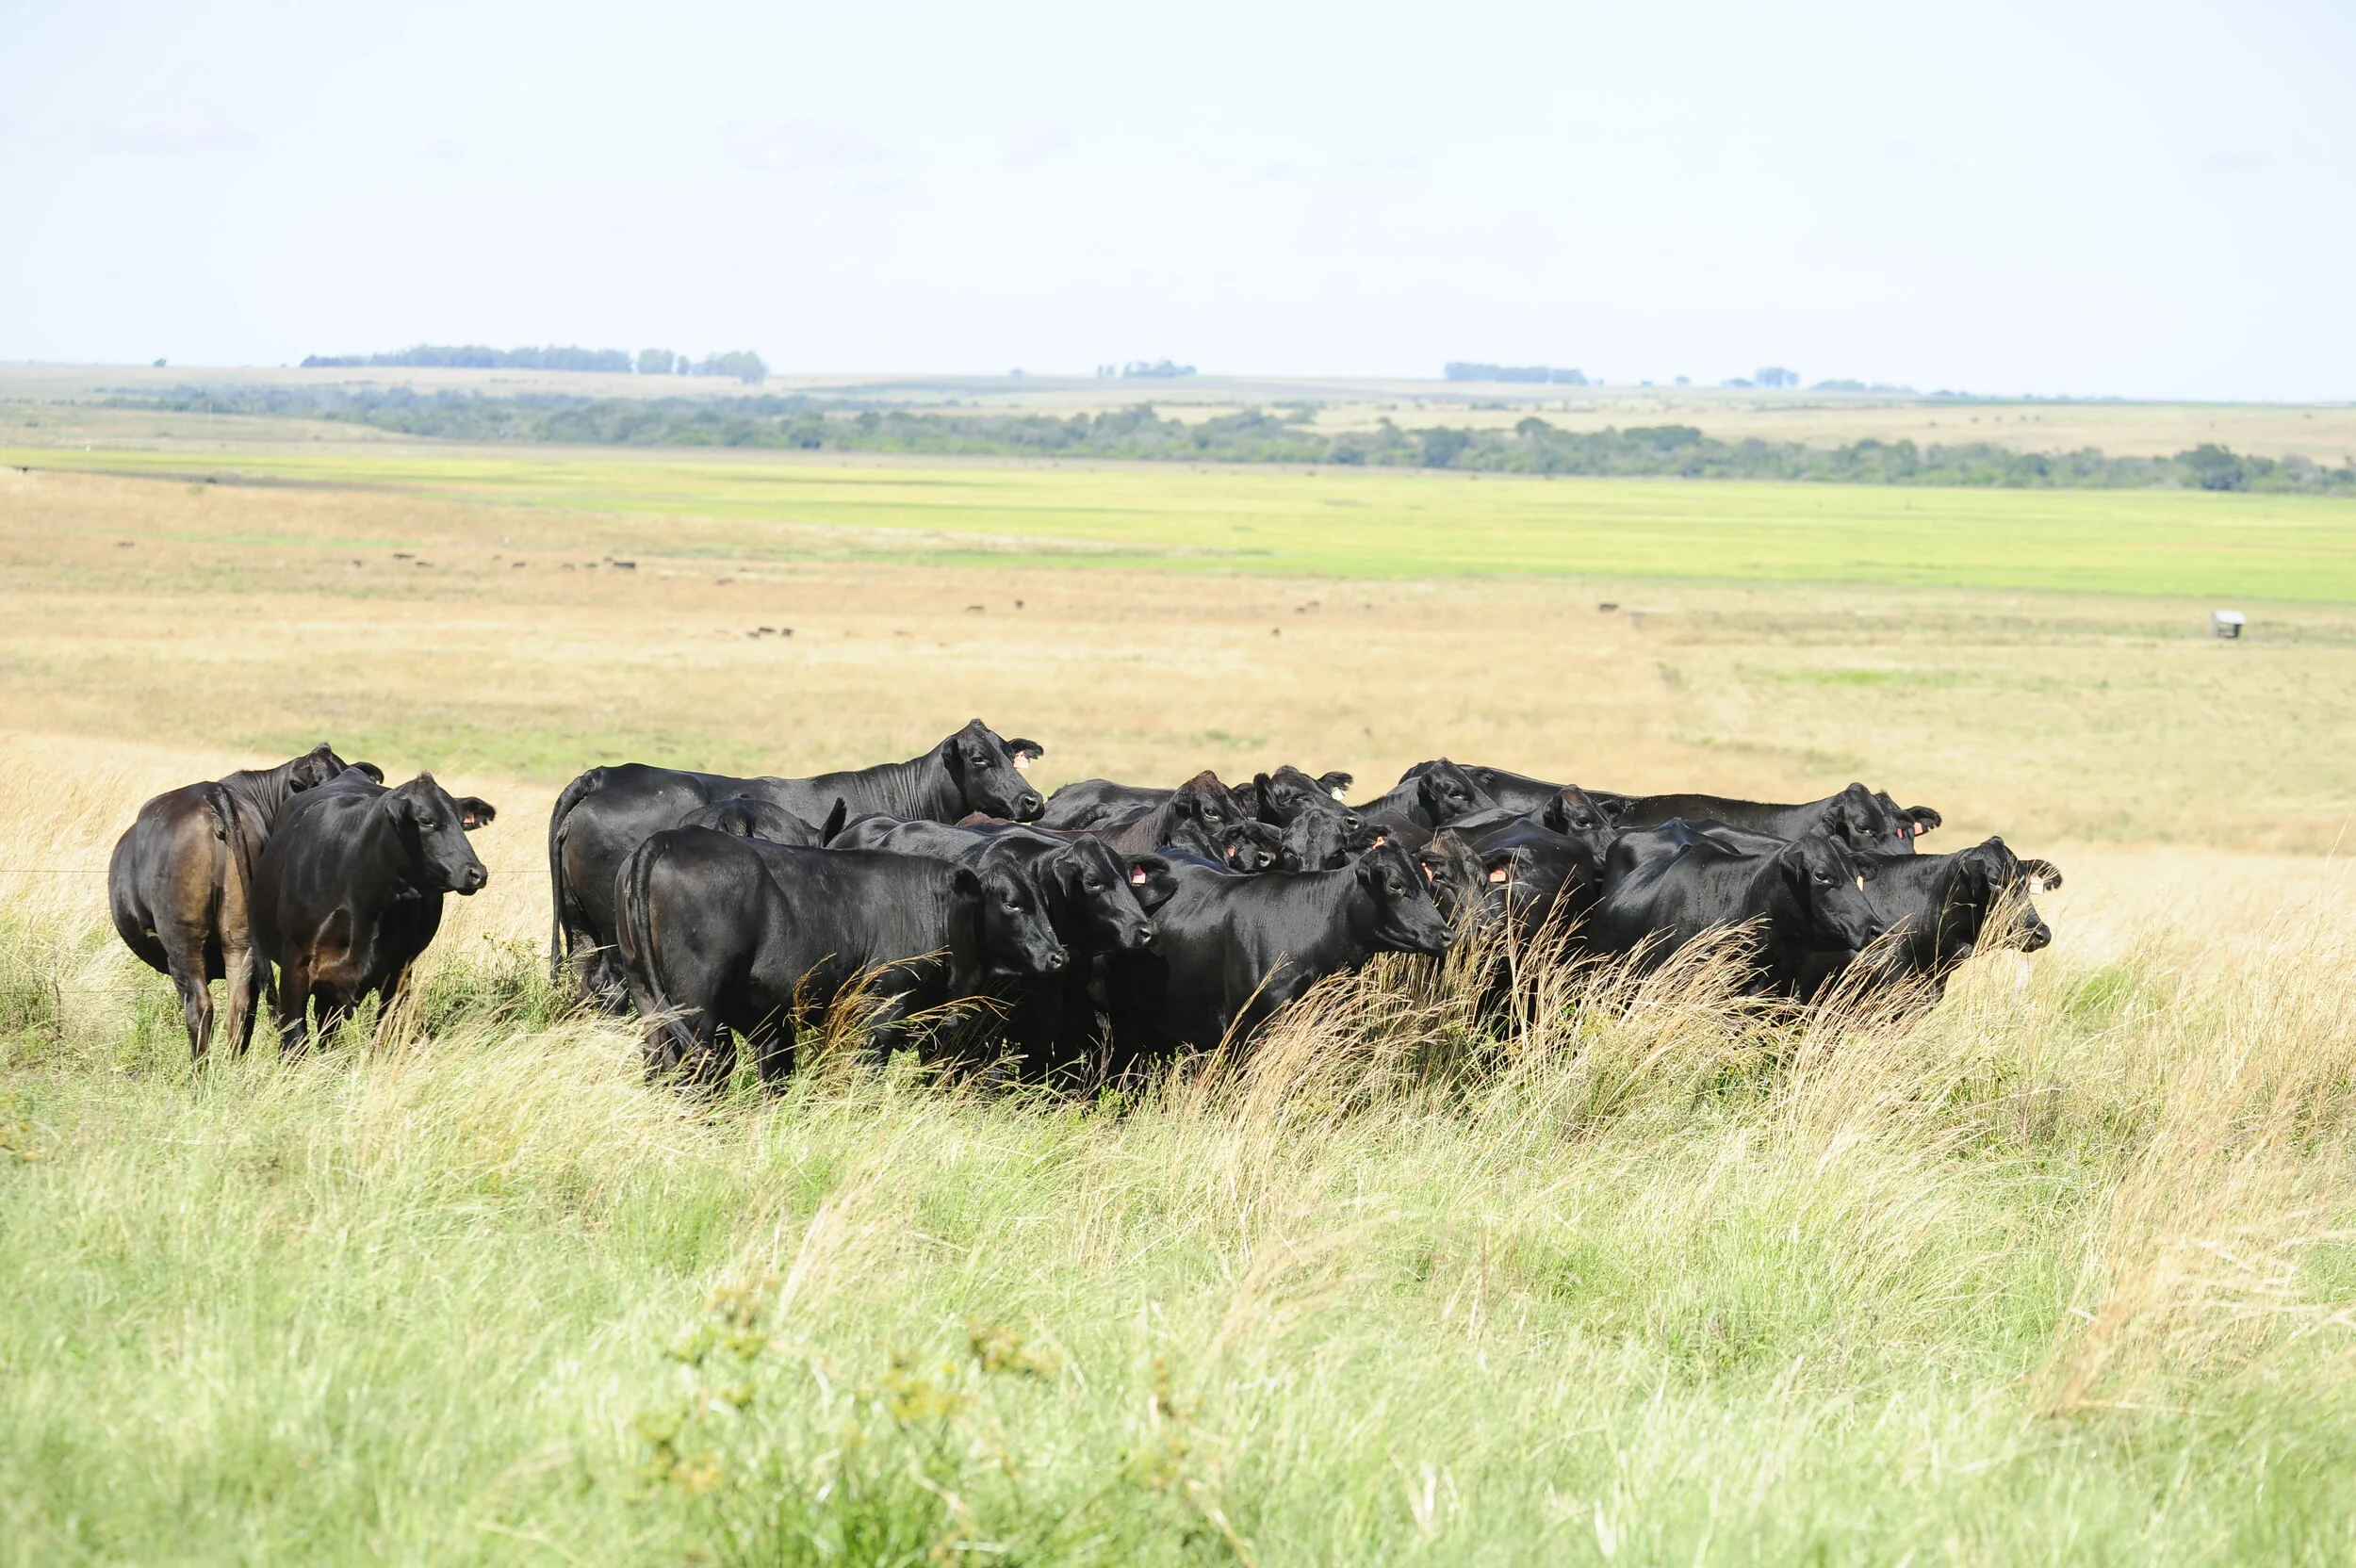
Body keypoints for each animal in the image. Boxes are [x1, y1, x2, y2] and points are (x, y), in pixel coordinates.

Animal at [249, 772, 496, 1052]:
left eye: (462, 821)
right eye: (426, 820)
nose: (476, 873)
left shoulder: (399, 973)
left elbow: (384, 1036)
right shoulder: (295, 965)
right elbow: (295, 1038)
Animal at [546, 720, 1044, 1003]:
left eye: (1011, 754)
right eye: (979, 758)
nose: (1032, 800)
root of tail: (604, 775)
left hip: (582, 925)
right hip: (616, 933)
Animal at [610, 830, 1066, 1086]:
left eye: (1043, 901)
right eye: (1011, 903)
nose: (1058, 956)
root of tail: (669, 838)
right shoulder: (880, 1013)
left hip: (647, 993)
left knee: (658, 1060)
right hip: (696, 1004)